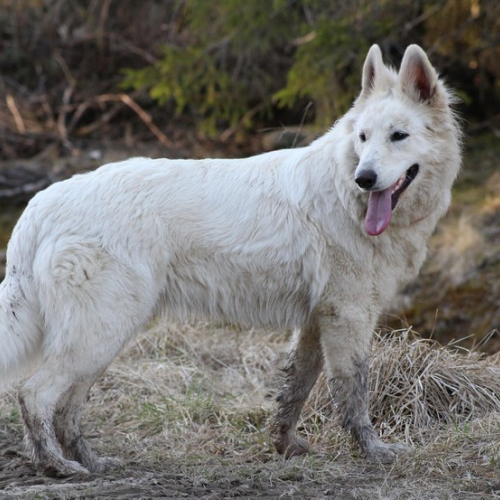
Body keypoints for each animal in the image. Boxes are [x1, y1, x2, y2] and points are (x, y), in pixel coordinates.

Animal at [0, 44, 460, 476]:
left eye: (398, 135)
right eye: (363, 139)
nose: (364, 178)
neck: (347, 196)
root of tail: (40, 204)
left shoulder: (317, 320)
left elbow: (297, 388)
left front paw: (285, 446)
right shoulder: (349, 316)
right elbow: (353, 392)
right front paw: (373, 452)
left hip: (103, 340)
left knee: (67, 408)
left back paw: (91, 463)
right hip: (100, 334)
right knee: (33, 394)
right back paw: (56, 466)